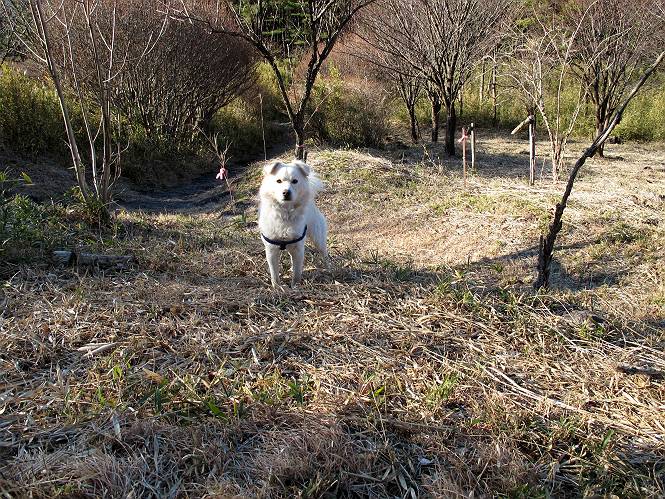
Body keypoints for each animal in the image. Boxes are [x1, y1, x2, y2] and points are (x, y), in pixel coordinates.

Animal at [258, 159, 329, 287]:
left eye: (295, 181)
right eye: (279, 181)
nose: (286, 192)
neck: (285, 214)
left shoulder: (298, 249)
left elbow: (297, 273)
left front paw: (295, 286)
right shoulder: (271, 250)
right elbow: (274, 274)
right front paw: (277, 287)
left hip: (318, 237)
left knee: (324, 253)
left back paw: (329, 269)